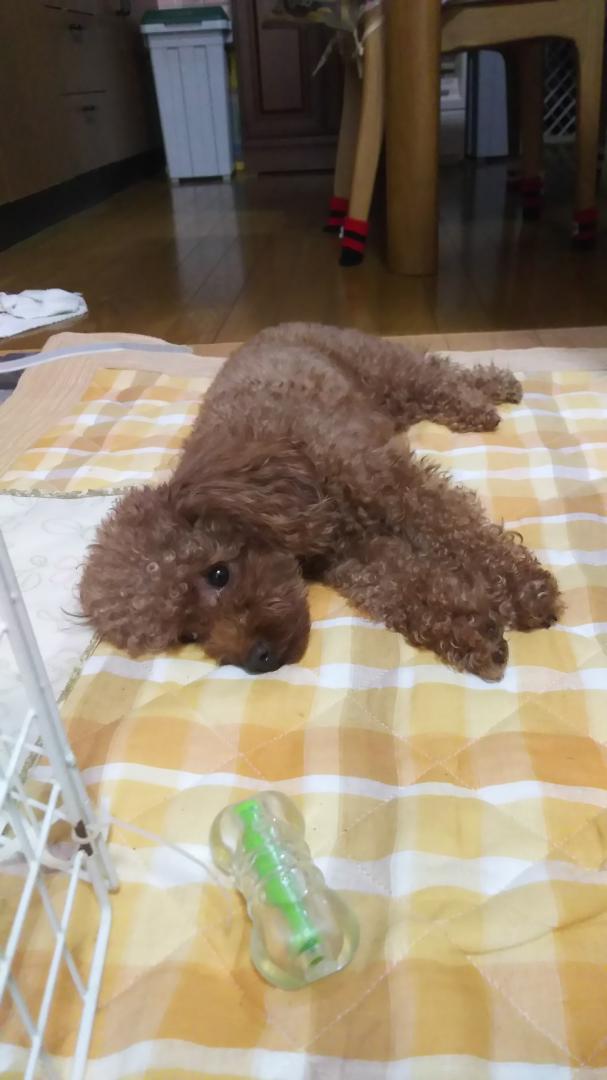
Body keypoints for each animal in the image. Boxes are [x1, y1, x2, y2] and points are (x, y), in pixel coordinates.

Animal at [79, 323, 561, 681]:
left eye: (218, 574)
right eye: (189, 634)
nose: (258, 660)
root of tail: (276, 325)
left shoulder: (393, 486)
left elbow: (462, 532)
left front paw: (528, 592)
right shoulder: (350, 556)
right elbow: (406, 588)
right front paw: (474, 632)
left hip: (385, 367)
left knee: (437, 370)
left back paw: (490, 395)